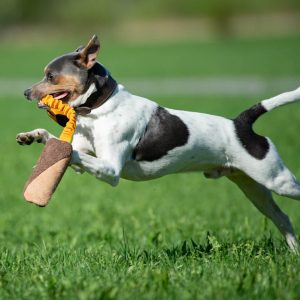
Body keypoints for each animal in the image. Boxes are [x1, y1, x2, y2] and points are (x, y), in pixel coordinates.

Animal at [17, 34, 300, 251]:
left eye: (50, 76)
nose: (26, 92)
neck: (101, 107)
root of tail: (240, 124)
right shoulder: (85, 156)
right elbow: (65, 147)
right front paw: (34, 135)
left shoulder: (110, 169)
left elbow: (74, 154)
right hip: (254, 188)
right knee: (283, 218)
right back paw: (294, 253)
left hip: (277, 180)